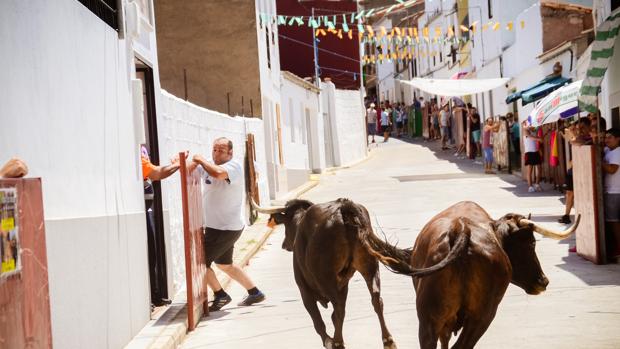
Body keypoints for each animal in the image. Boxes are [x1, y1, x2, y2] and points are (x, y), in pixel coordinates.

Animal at [253, 197, 470, 346]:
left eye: (286, 224)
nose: (284, 245)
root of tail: (343, 207)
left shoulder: (305, 289)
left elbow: (318, 322)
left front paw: (329, 341)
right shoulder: (343, 284)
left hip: (329, 278)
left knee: (339, 309)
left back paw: (338, 342)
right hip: (368, 266)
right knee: (376, 300)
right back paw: (388, 340)